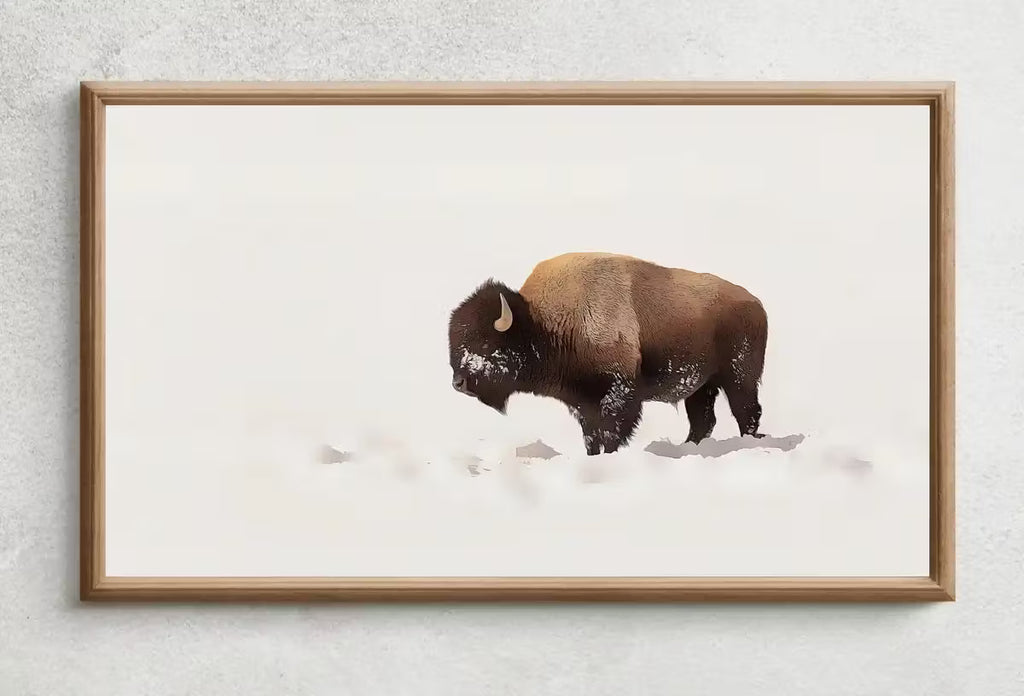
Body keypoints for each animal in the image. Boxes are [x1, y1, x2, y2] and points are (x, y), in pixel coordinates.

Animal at [447, 252, 768, 455]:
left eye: (485, 342)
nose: (458, 383)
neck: (543, 322)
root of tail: (755, 302)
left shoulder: (619, 393)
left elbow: (611, 431)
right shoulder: (582, 402)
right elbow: (591, 435)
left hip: (739, 378)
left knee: (747, 413)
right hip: (701, 386)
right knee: (703, 421)